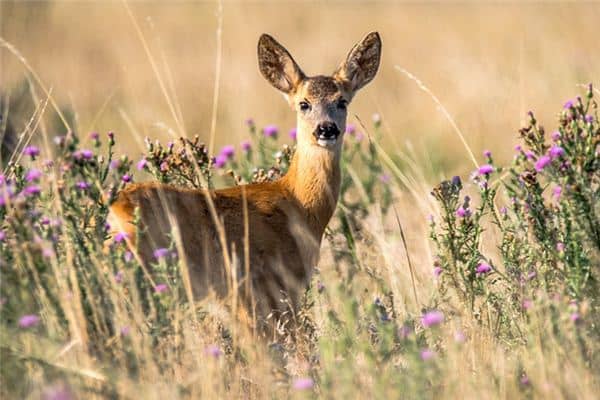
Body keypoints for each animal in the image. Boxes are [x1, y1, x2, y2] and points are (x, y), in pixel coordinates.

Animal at [108, 30, 382, 332]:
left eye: (342, 101)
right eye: (304, 104)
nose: (326, 129)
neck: (299, 204)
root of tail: (115, 211)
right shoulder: (266, 288)